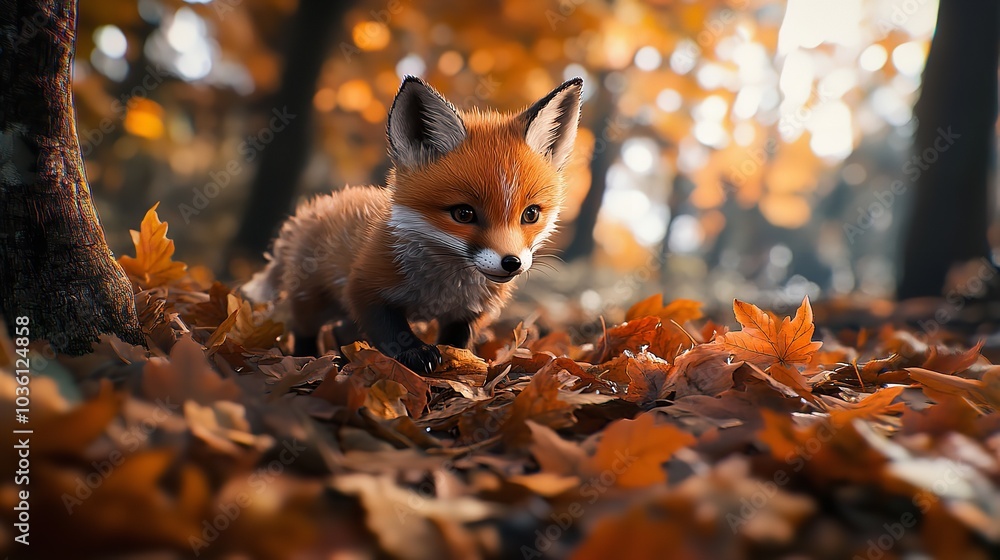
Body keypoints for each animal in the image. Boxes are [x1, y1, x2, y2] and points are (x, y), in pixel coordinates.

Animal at [242, 76, 583, 374]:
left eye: (530, 214)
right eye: (463, 214)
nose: (512, 263)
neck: (442, 290)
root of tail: (311, 208)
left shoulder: (468, 312)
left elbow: (456, 343)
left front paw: (458, 364)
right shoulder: (364, 286)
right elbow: (390, 330)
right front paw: (416, 354)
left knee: (341, 331)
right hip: (312, 302)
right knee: (304, 329)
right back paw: (310, 358)